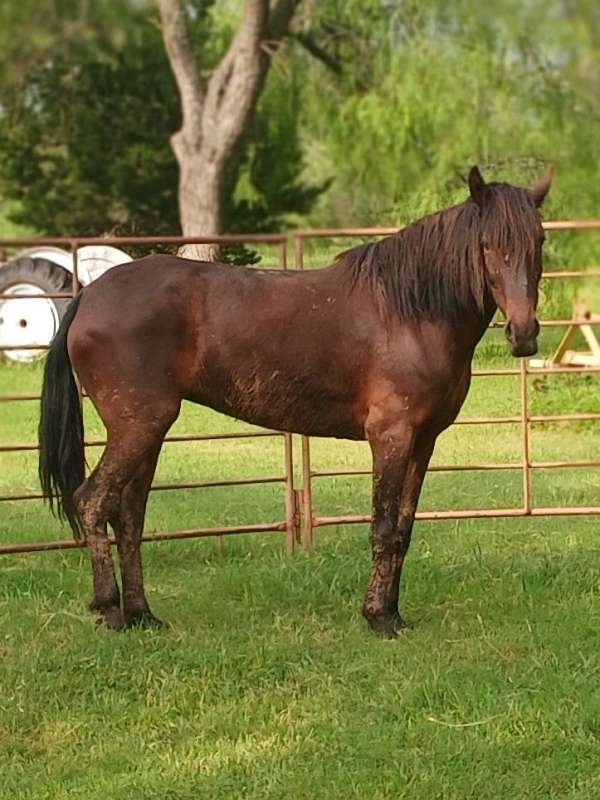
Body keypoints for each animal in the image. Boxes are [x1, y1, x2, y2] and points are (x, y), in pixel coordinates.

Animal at [38, 166, 551, 637]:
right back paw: (110, 610)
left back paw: (142, 615)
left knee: (128, 516)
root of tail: (90, 296)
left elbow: (403, 530)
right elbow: (384, 529)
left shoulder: (423, 442)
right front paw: (379, 617)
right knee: (92, 502)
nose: (523, 334)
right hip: (138, 427)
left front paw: (393, 612)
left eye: (540, 241)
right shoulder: (391, 436)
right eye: (487, 245)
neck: (410, 311)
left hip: (149, 432)